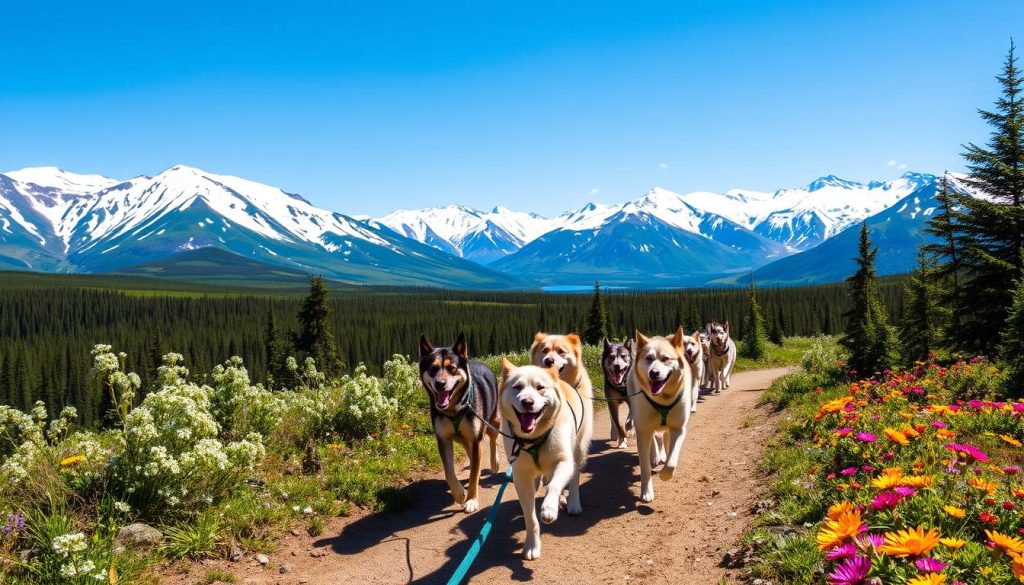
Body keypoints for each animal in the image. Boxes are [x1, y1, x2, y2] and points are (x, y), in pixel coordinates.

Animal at [497, 358, 593, 561]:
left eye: (540, 387)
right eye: (517, 387)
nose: (527, 402)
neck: (533, 438)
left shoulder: (564, 461)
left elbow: (554, 486)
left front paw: (549, 507)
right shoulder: (521, 475)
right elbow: (530, 517)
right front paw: (532, 544)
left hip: (578, 449)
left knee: (573, 477)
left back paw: (571, 502)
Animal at [626, 329, 692, 504]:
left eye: (665, 359)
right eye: (649, 359)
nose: (653, 373)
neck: (663, 399)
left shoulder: (679, 429)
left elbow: (672, 461)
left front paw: (665, 473)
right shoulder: (643, 431)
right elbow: (645, 467)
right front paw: (646, 491)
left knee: (665, 438)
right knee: (655, 439)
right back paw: (656, 455)